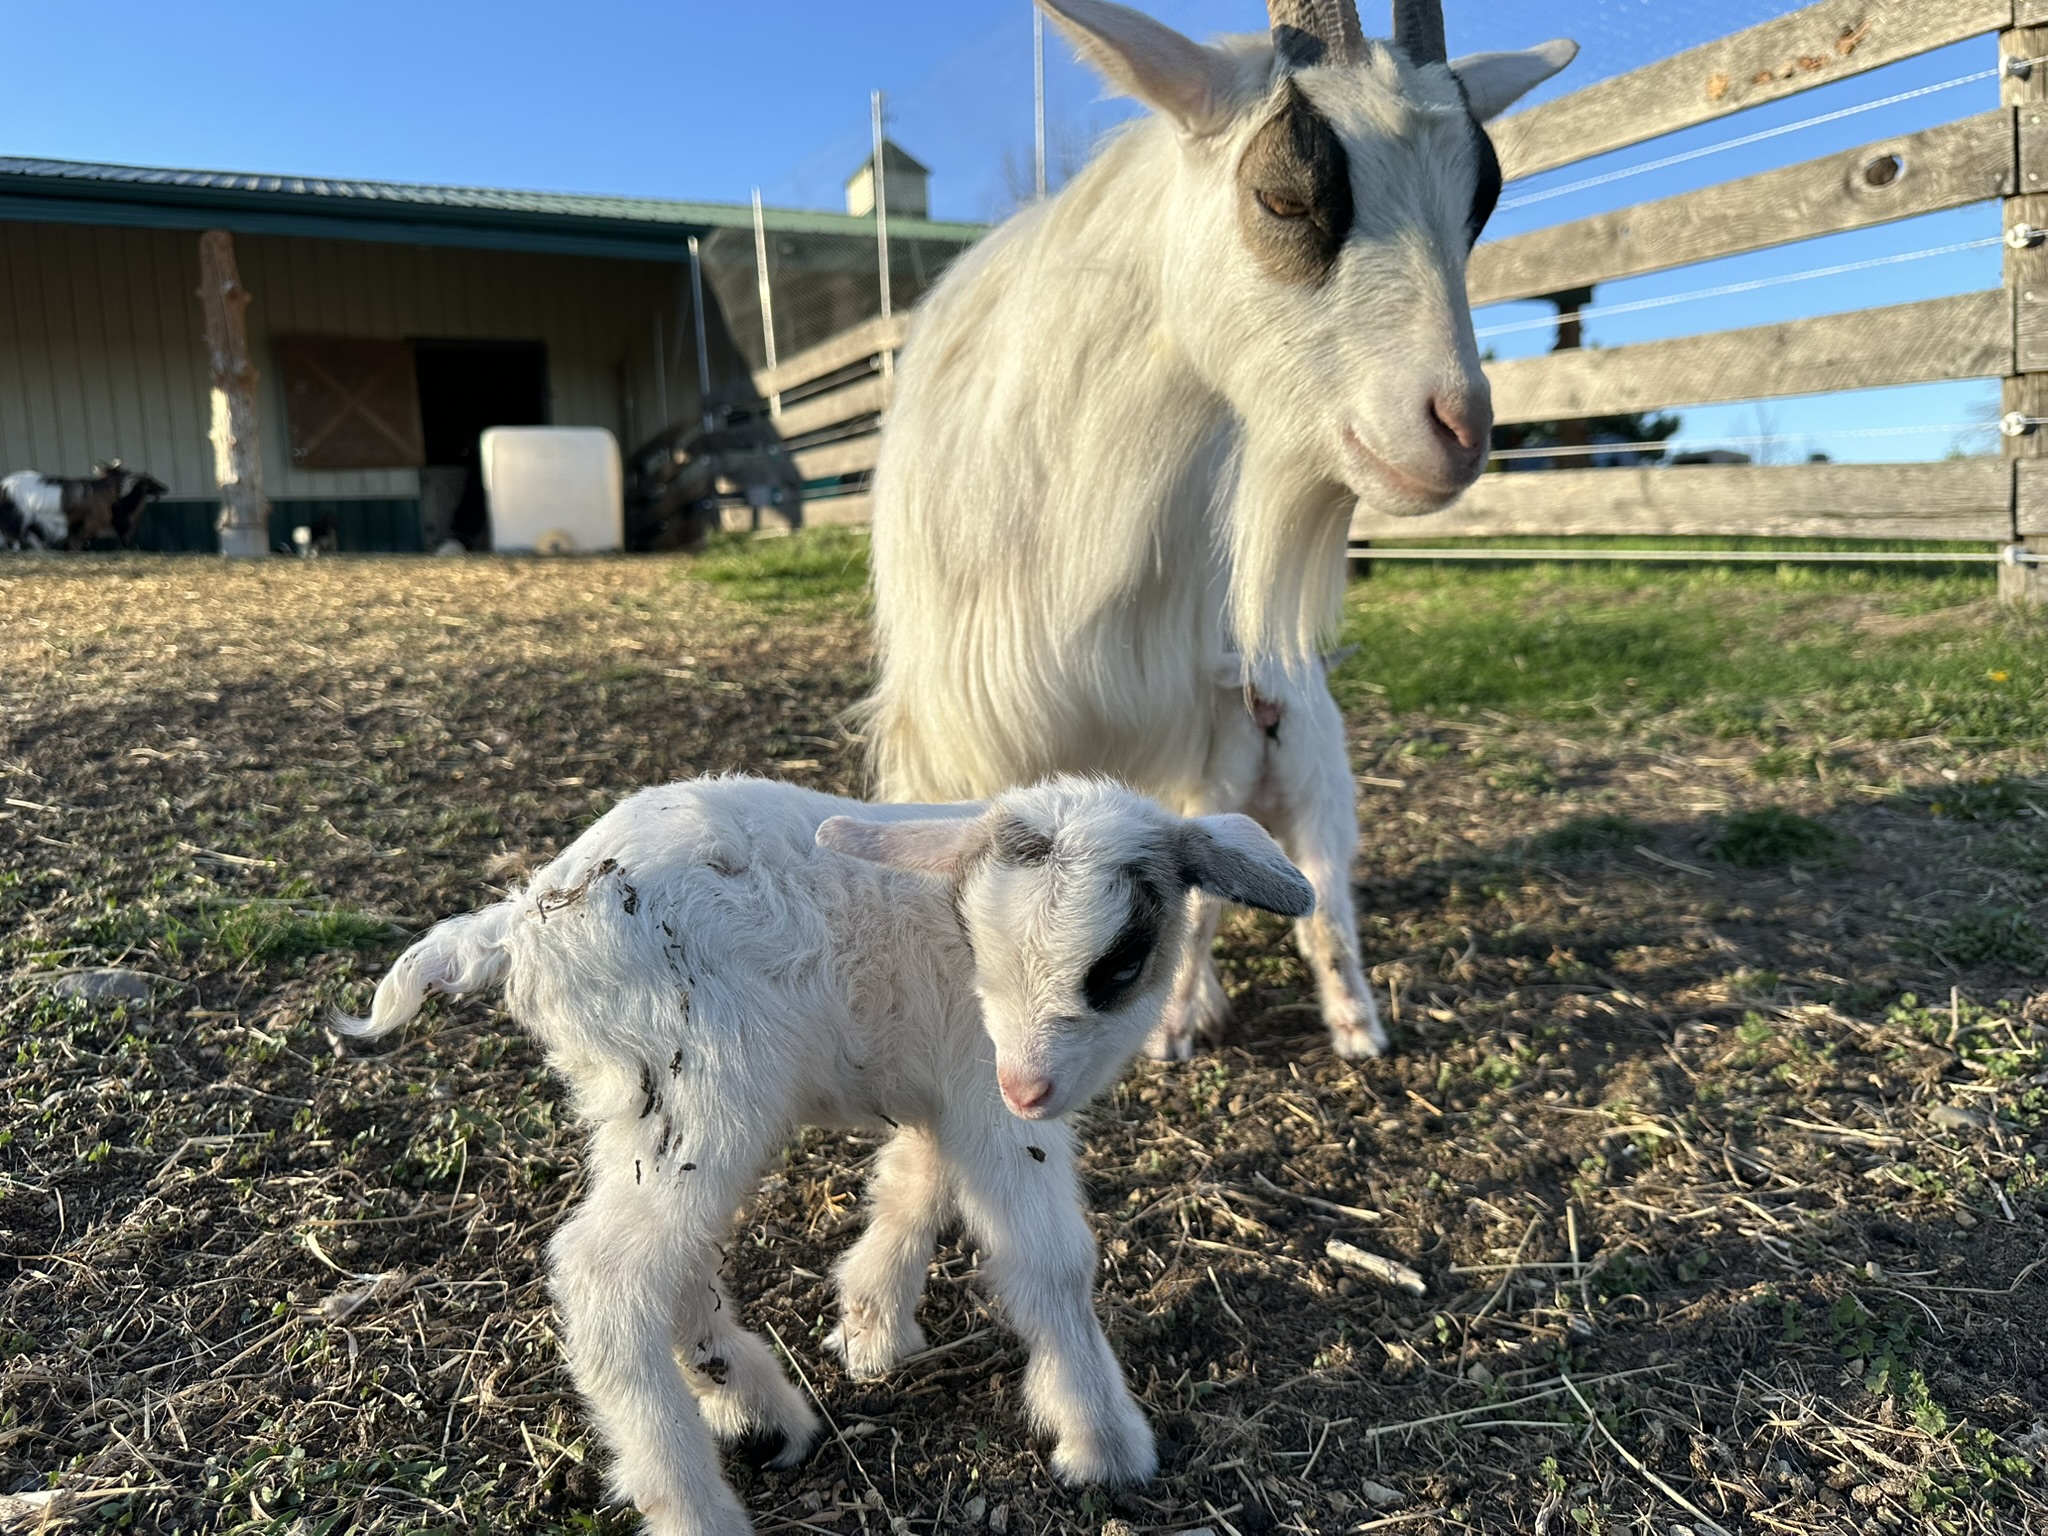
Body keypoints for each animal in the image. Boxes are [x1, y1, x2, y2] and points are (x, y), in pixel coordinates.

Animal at [336, 773, 1313, 1536]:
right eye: (985, 950)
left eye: (1116, 964)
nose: (1030, 1085)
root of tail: (516, 926)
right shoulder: (988, 1098)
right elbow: (1050, 1259)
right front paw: (1103, 1444)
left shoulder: (951, 1091)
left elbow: (916, 1181)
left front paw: (872, 1324)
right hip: (703, 1086)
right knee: (607, 1274)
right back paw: (697, 1506)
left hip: (642, 1104)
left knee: (670, 1261)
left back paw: (756, 1412)